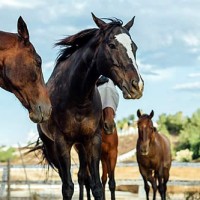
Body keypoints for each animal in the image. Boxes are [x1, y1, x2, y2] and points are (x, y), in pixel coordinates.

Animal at [37, 12, 144, 200]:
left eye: (134, 47)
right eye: (112, 45)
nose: (137, 85)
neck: (77, 98)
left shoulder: (93, 141)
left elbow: (97, 187)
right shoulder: (62, 143)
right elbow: (68, 188)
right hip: (52, 148)